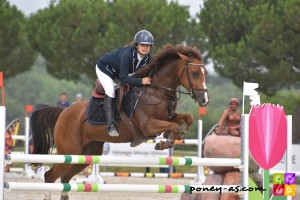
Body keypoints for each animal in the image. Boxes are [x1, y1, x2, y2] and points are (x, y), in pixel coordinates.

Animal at [29, 44, 209, 200]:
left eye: (205, 73)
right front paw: (166, 141)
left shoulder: (168, 117)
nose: (204, 100)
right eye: (194, 73)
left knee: (65, 177)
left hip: (87, 154)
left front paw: (171, 136)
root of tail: (63, 112)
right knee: (50, 175)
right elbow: (173, 126)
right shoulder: (147, 126)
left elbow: (187, 118)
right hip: (70, 151)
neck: (157, 91)